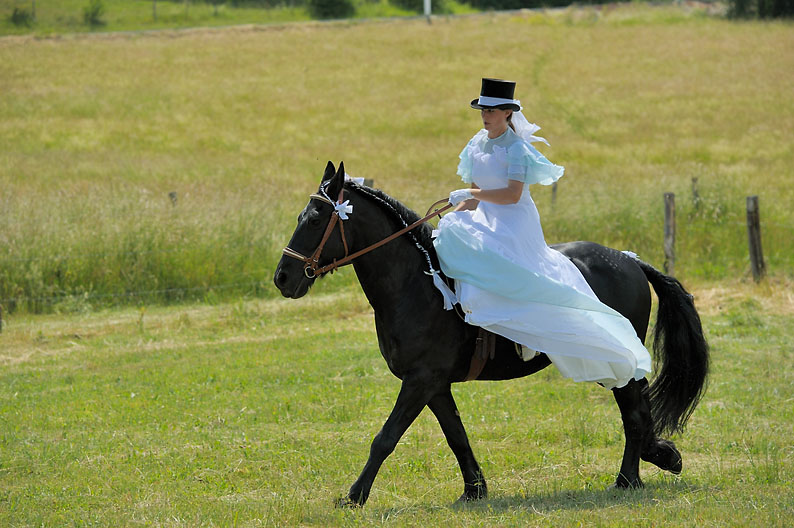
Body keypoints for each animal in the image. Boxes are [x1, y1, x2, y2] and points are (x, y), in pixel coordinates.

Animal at [272, 162, 704, 508]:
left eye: (315, 220)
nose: (283, 278)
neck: (416, 285)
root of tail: (629, 261)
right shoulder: (434, 385)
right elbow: (456, 436)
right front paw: (474, 490)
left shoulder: (419, 381)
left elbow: (386, 437)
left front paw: (353, 497)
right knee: (637, 411)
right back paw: (652, 461)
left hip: (615, 363)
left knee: (634, 414)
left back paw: (631, 477)